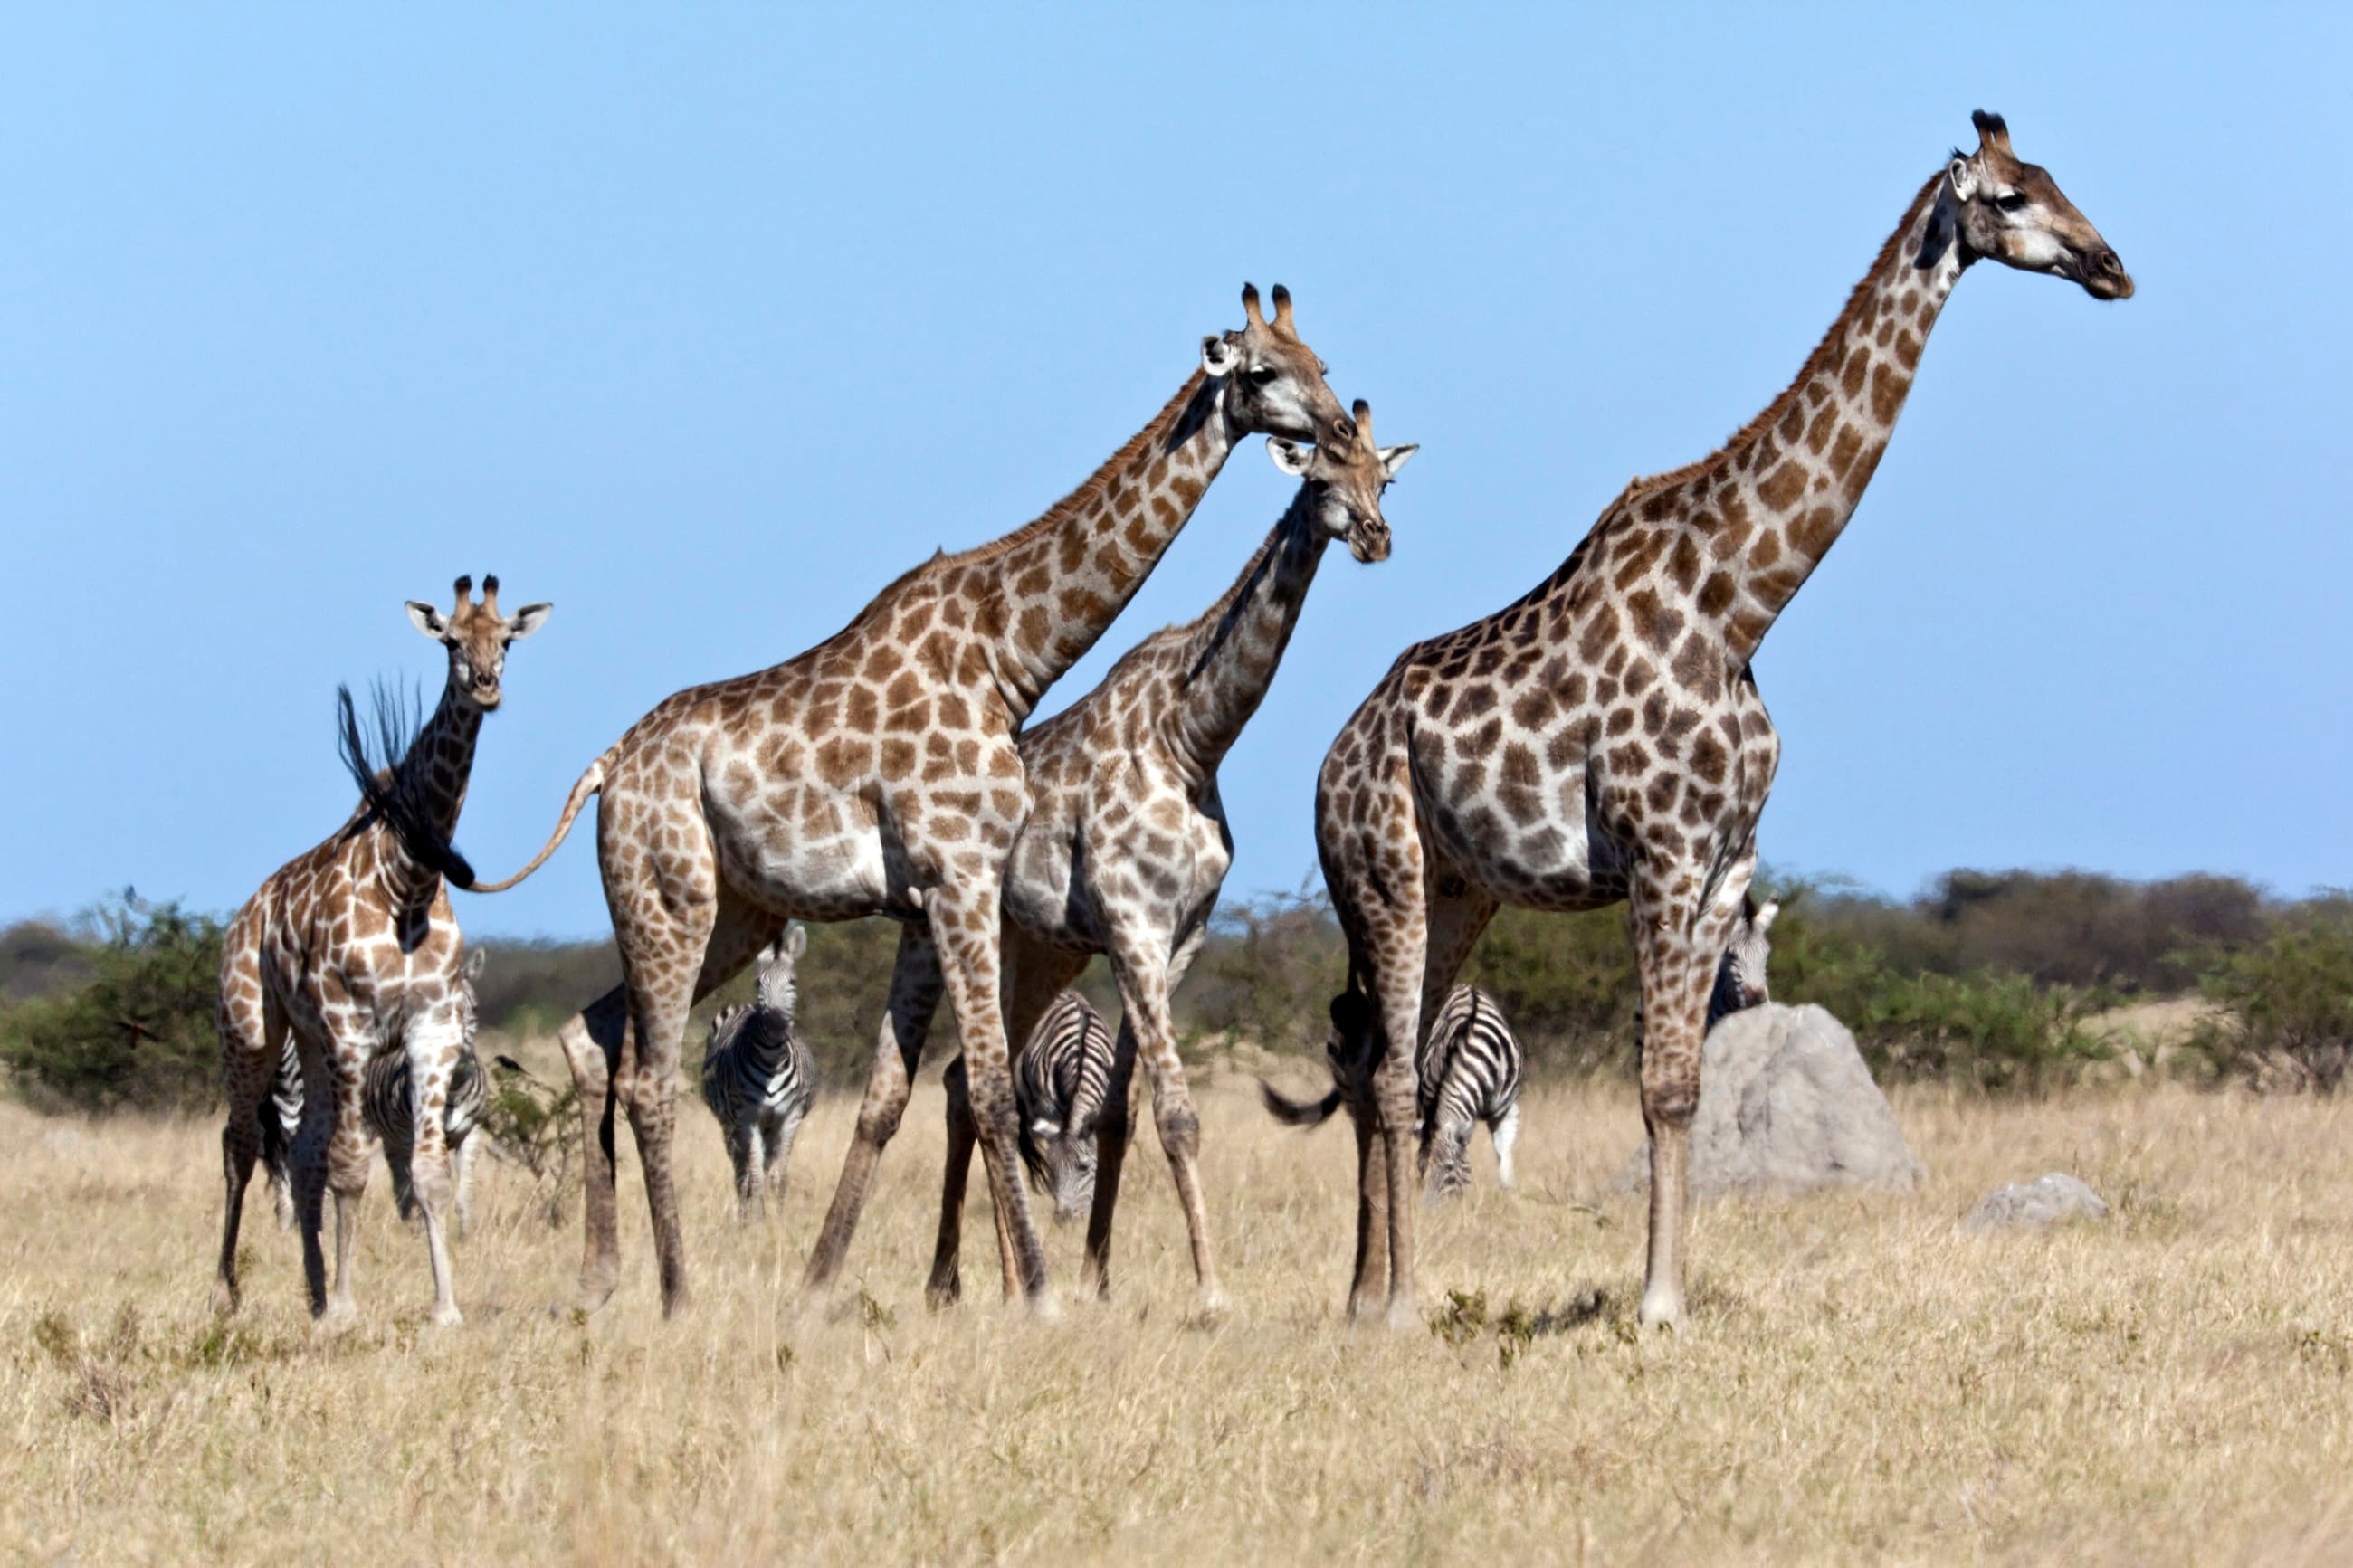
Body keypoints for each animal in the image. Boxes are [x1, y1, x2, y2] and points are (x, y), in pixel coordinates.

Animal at [214, 576, 550, 1328]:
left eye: (506, 640)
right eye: (450, 642)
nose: (486, 686)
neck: (409, 879)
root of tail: (246, 912)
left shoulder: (433, 1029)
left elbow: (424, 1172)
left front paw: (444, 1309)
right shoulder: (350, 1027)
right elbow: (351, 1166)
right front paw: (347, 1307)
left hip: (308, 1043)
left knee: (302, 1149)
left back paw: (312, 1290)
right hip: (252, 1029)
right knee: (242, 1146)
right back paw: (227, 1292)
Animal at [468, 286, 1349, 1317]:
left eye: (1323, 362)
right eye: (1263, 371)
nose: (1339, 428)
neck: (1010, 654)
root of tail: (605, 767)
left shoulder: (934, 897)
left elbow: (902, 1095)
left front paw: (830, 1290)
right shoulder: (960, 876)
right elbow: (994, 1091)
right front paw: (1039, 1296)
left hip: (730, 908)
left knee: (590, 1033)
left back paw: (601, 1278)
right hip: (668, 897)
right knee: (648, 1077)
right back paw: (676, 1291)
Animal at [920, 406, 1415, 1312]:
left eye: (1383, 479)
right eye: (1320, 477)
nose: (1375, 537)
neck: (1192, 739)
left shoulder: (1175, 938)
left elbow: (1121, 1114)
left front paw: (1096, 1284)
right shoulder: (1135, 930)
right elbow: (1179, 1115)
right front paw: (1212, 1292)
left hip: (1040, 949)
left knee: (963, 1084)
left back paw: (995, 1283)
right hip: (975, 938)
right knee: (967, 1084)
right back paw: (966, 1283)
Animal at [1313, 111, 2131, 1330]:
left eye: (2055, 178)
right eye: (2009, 198)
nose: (2110, 265)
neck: (1738, 601)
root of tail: (1326, 761)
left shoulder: (1725, 863)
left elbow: (1688, 1085)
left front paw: (1674, 1296)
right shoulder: (1657, 851)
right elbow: (1654, 1082)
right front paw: (1655, 1306)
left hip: (1460, 889)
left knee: (1385, 1058)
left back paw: (1366, 1295)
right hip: (1382, 876)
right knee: (1387, 1070)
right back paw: (1402, 1303)